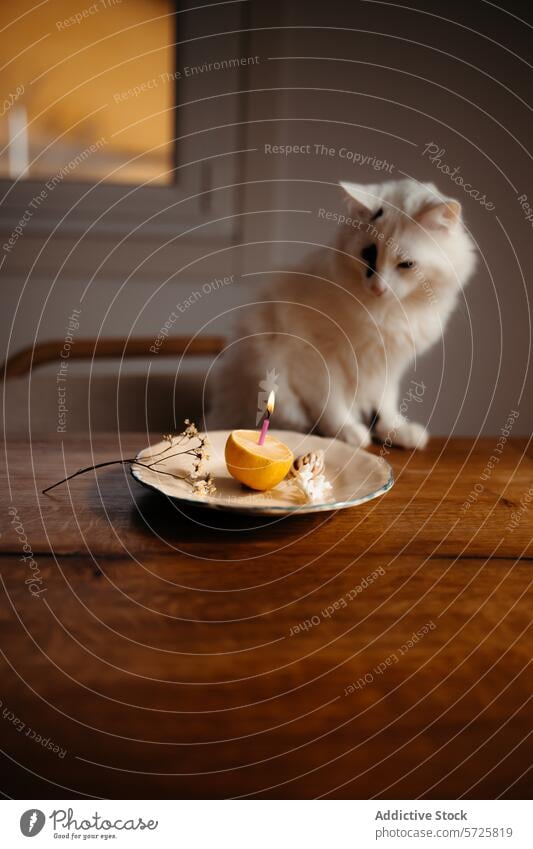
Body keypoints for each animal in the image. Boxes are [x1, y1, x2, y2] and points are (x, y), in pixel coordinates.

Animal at [206, 180, 476, 450]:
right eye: (368, 255)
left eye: (406, 265)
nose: (379, 288)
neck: (386, 313)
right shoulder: (316, 355)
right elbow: (331, 401)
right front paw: (348, 431)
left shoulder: (387, 364)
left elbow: (386, 406)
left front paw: (394, 431)